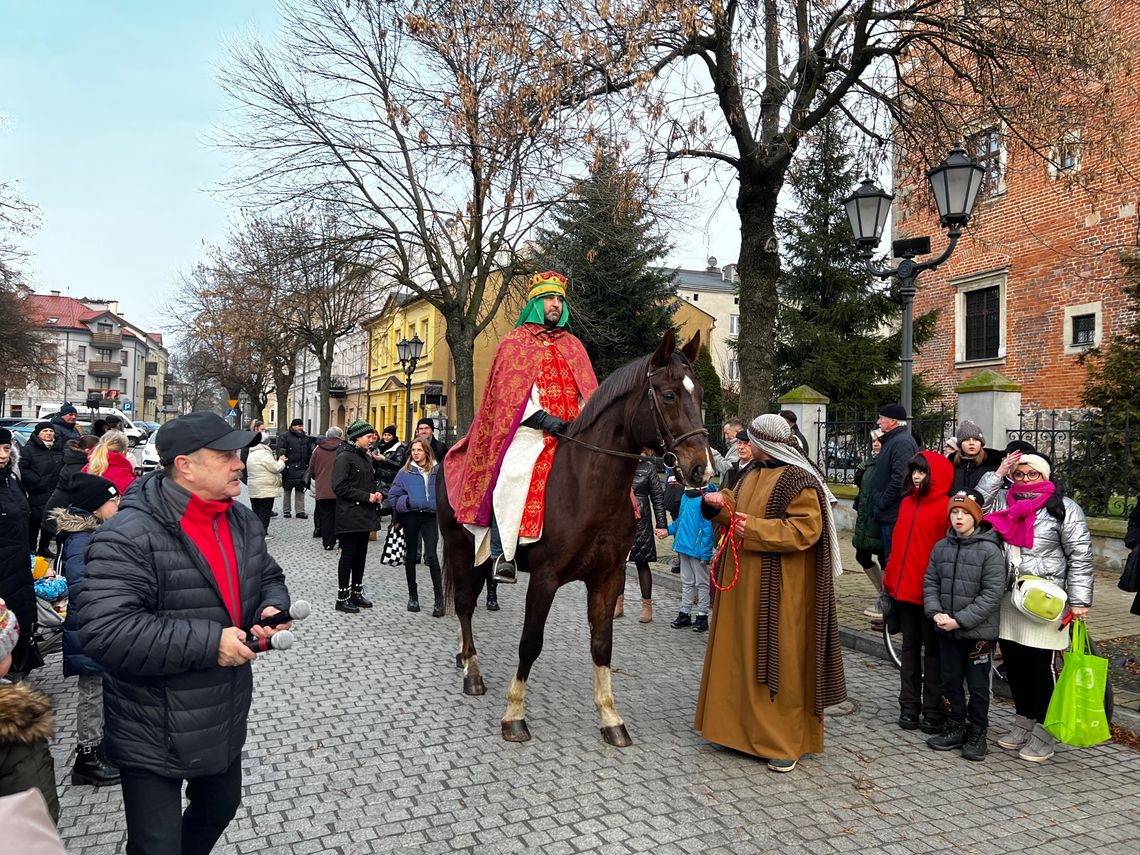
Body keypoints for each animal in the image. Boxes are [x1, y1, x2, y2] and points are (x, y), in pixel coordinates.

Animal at [437, 330, 711, 747]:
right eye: (668, 395)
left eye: (699, 397)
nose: (701, 469)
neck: (588, 485)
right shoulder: (545, 578)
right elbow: (530, 642)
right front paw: (514, 714)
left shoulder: (608, 577)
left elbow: (602, 644)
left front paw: (611, 717)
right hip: (458, 549)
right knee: (465, 606)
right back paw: (472, 671)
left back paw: (462, 657)